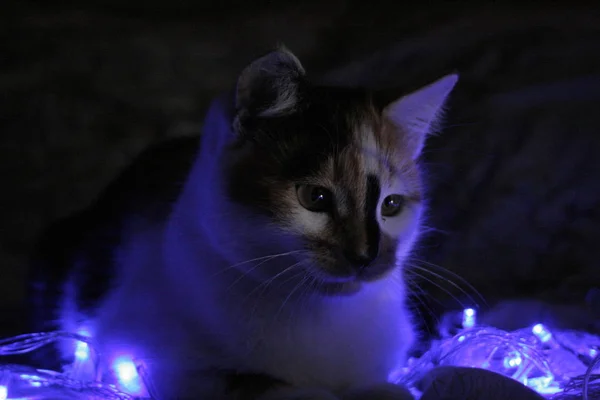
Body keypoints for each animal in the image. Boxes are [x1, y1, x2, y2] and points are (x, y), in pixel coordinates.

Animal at [28, 47, 458, 400]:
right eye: (315, 198)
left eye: (391, 205)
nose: (366, 256)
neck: (320, 313)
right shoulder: (144, 355)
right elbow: (258, 384)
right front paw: (306, 390)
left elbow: (383, 385)